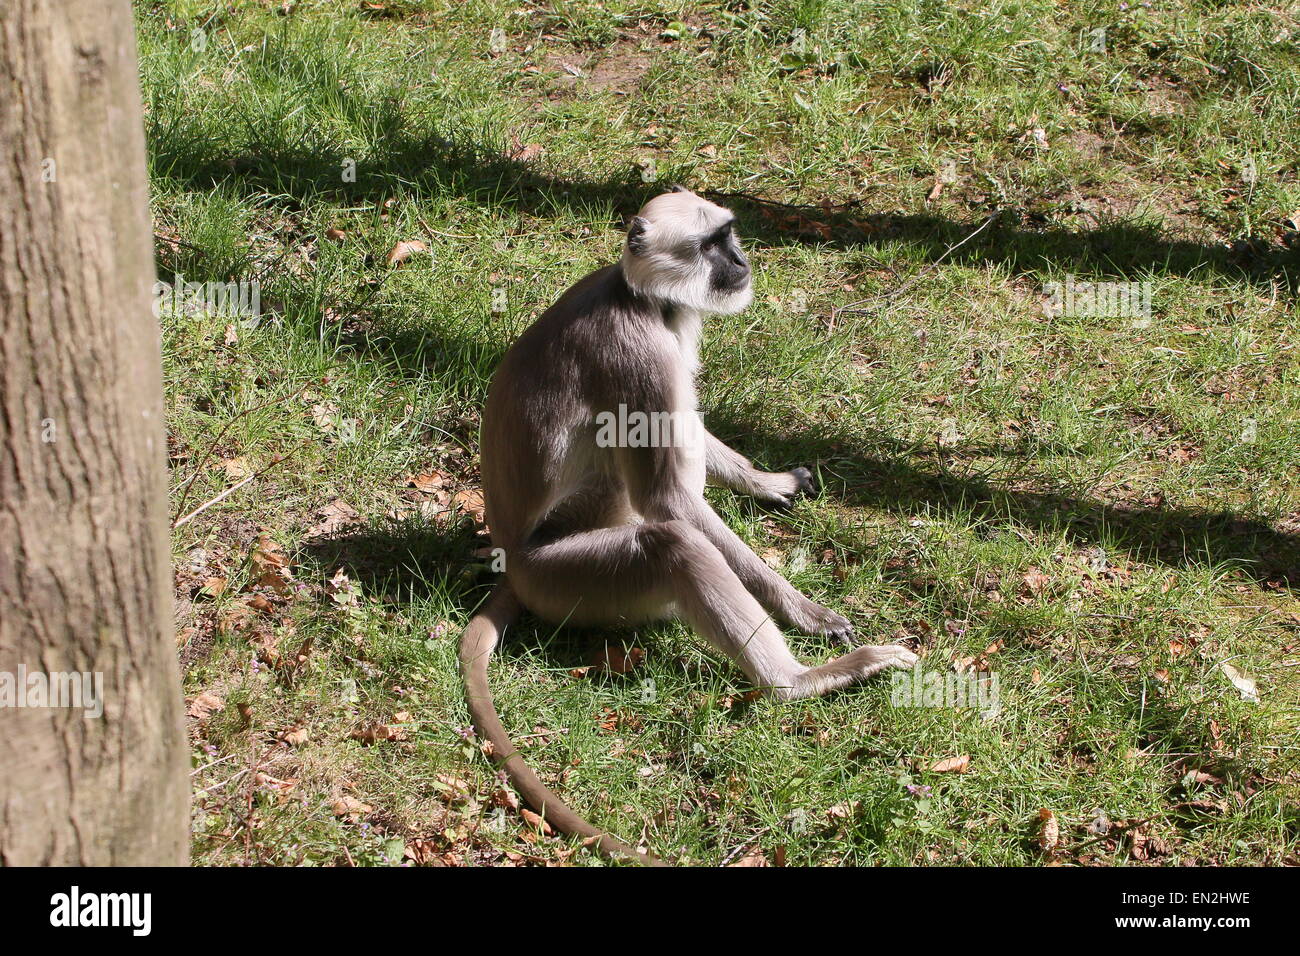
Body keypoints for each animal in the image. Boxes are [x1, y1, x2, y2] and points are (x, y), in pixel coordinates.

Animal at [462, 183, 920, 863]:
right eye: (709, 245)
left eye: (729, 234)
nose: (740, 260)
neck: (641, 299)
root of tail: (511, 565)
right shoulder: (636, 352)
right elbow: (670, 502)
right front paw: (806, 611)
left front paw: (771, 483)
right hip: (566, 581)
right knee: (670, 540)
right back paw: (796, 682)